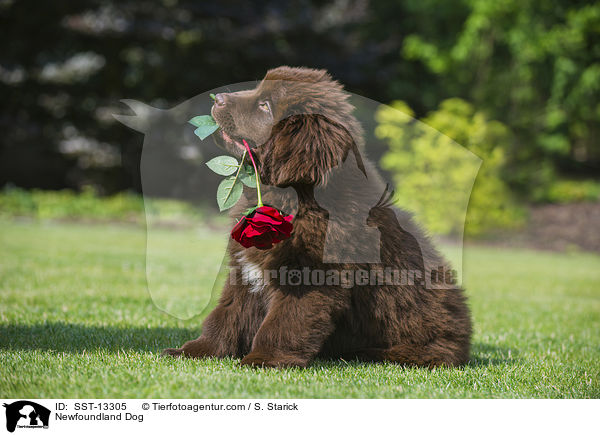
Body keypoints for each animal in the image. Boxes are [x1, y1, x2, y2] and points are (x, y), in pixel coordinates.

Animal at [162, 66, 472, 370]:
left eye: (265, 105)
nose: (218, 99)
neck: (295, 199)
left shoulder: (311, 279)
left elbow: (283, 322)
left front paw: (263, 359)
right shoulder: (244, 272)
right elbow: (225, 316)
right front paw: (194, 351)